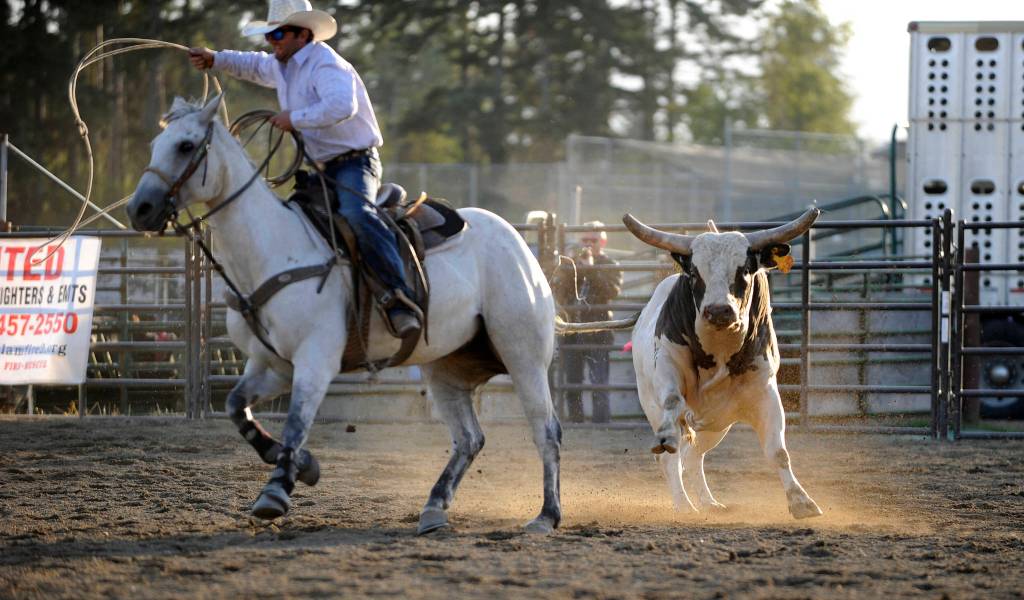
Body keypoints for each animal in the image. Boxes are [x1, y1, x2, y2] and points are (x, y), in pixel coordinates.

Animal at [623, 208, 823, 519]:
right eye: (694, 273)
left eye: (744, 270)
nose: (718, 311)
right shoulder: (667, 364)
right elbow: (672, 403)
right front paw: (667, 436)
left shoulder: (765, 390)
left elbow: (777, 451)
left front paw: (801, 501)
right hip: (653, 403)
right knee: (671, 460)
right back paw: (684, 506)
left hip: (717, 425)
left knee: (694, 457)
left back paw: (708, 502)